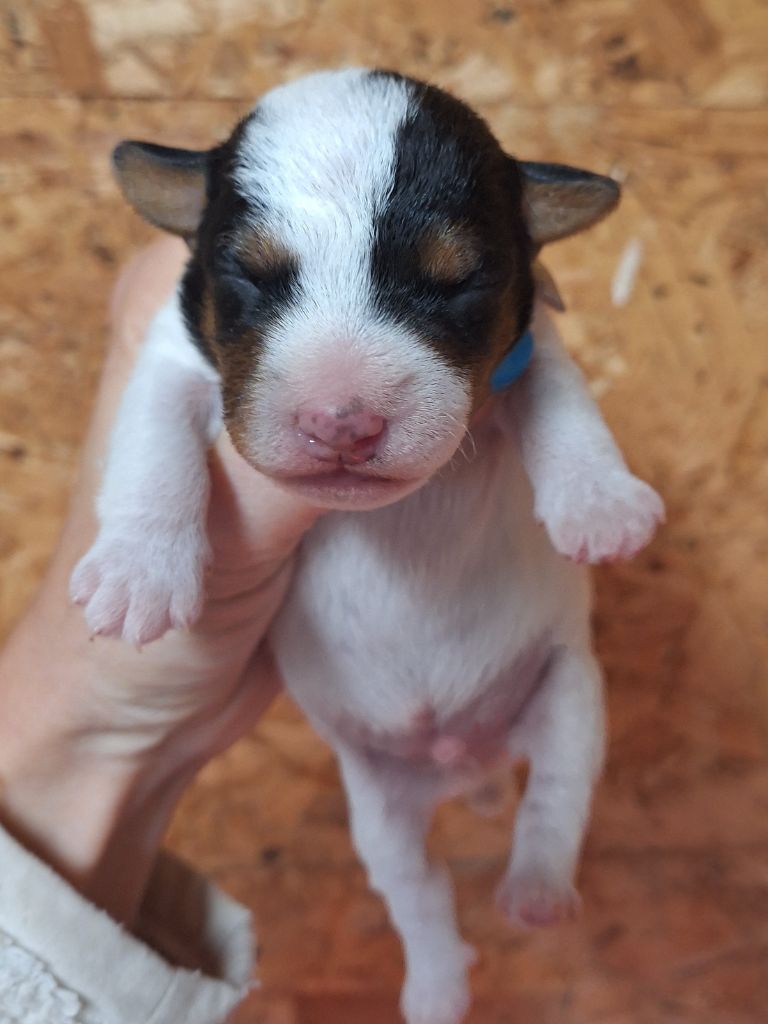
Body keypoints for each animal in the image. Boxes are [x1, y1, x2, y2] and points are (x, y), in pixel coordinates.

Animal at [72, 70, 667, 1024]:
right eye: (250, 275)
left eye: (456, 282)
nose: (340, 422)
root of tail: (463, 763)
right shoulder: (166, 355)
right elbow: (151, 443)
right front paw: (138, 574)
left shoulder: (529, 347)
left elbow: (565, 398)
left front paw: (599, 503)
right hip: (378, 805)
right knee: (418, 892)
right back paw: (436, 985)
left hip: (570, 697)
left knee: (555, 801)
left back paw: (534, 892)